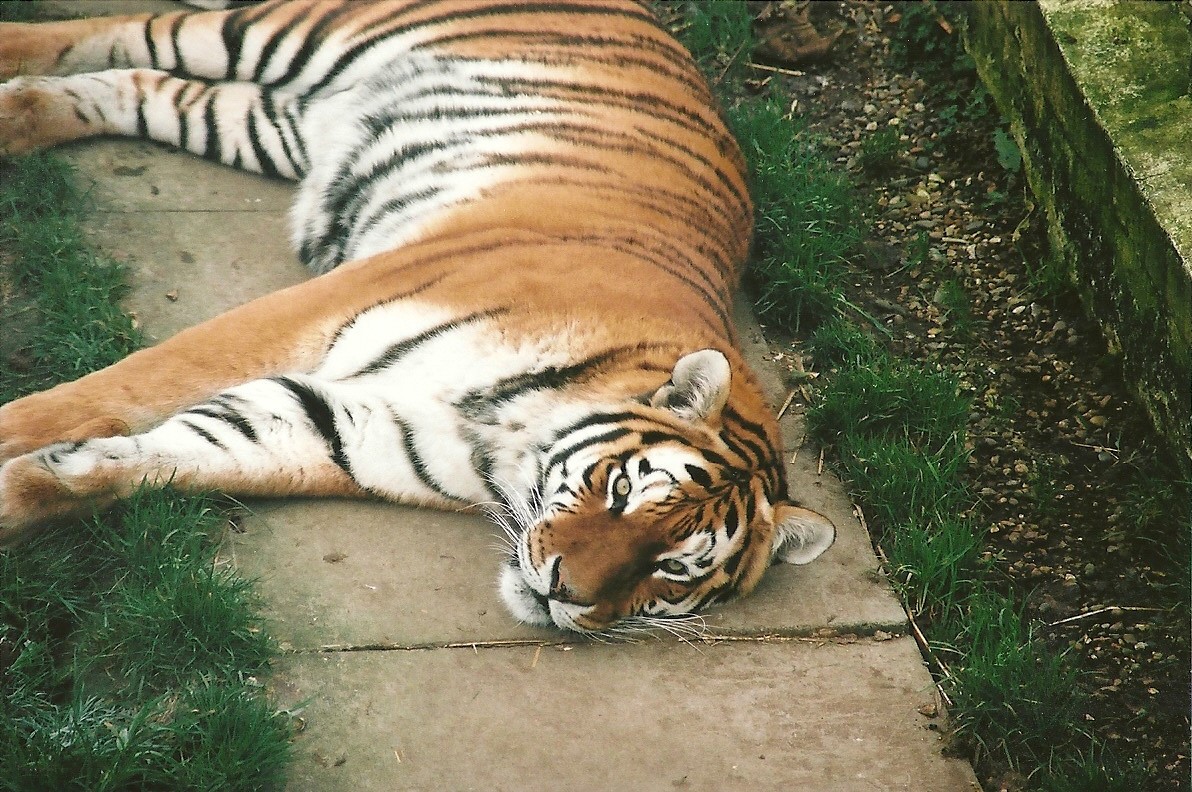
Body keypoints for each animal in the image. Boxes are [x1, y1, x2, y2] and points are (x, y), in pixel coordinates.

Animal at [0, 0, 835, 634]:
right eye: (623, 492)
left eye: (670, 568)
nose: (565, 592)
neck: (509, 443)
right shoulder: (319, 307)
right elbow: (121, 388)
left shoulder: (333, 426)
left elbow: (170, 455)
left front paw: (33, 486)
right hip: (296, 32)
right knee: (131, 28)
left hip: (275, 124)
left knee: (142, 83)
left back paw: (18, 115)